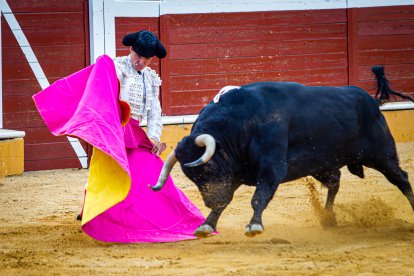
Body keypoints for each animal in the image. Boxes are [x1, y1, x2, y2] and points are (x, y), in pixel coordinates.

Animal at [150, 67, 414, 237]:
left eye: (209, 166)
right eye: (192, 177)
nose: (209, 200)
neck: (240, 123)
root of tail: (372, 101)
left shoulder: (271, 166)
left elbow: (259, 196)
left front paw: (254, 226)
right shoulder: (235, 173)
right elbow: (227, 202)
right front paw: (207, 225)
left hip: (382, 155)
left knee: (401, 178)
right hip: (321, 163)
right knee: (335, 181)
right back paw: (328, 219)